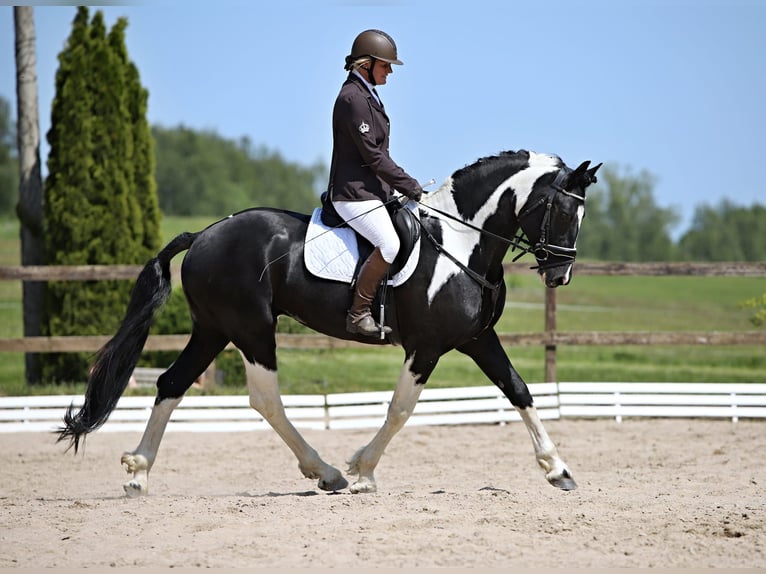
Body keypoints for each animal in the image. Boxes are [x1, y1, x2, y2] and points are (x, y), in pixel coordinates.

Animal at [57, 150, 604, 500]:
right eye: (561, 210)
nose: (561, 273)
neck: (463, 244)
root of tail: (205, 234)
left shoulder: (477, 339)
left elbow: (520, 391)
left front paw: (558, 470)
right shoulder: (426, 347)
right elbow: (401, 410)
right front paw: (362, 471)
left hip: (214, 329)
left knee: (172, 383)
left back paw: (138, 473)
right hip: (251, 330)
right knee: (264, 398)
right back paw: (326, 473)